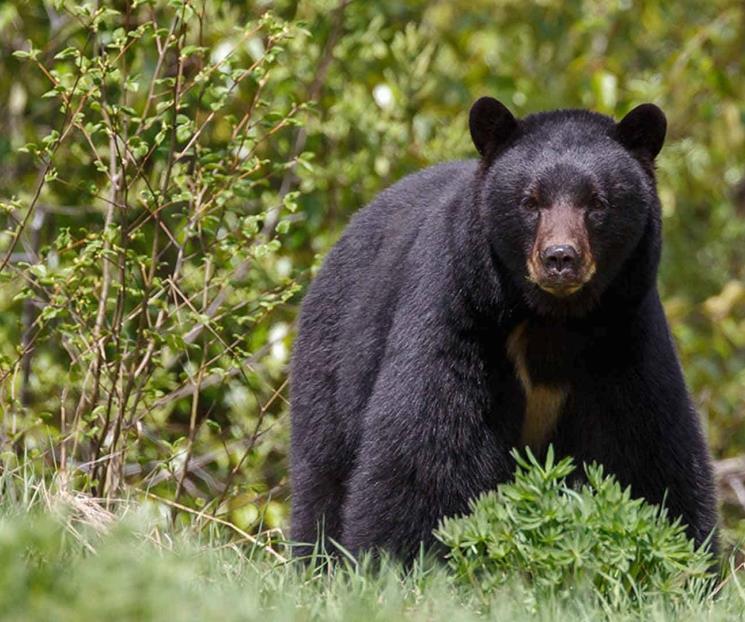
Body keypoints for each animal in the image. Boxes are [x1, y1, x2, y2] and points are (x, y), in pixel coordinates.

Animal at [290, 96, 716, 560]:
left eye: (597, 203)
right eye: (530, 201)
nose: (560, 258)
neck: (552, 319)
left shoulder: (623, 335)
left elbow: (646, 451)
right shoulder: (459, 314)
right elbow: (428, 446)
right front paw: (399, 558)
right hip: (334, 355)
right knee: (323, 472)